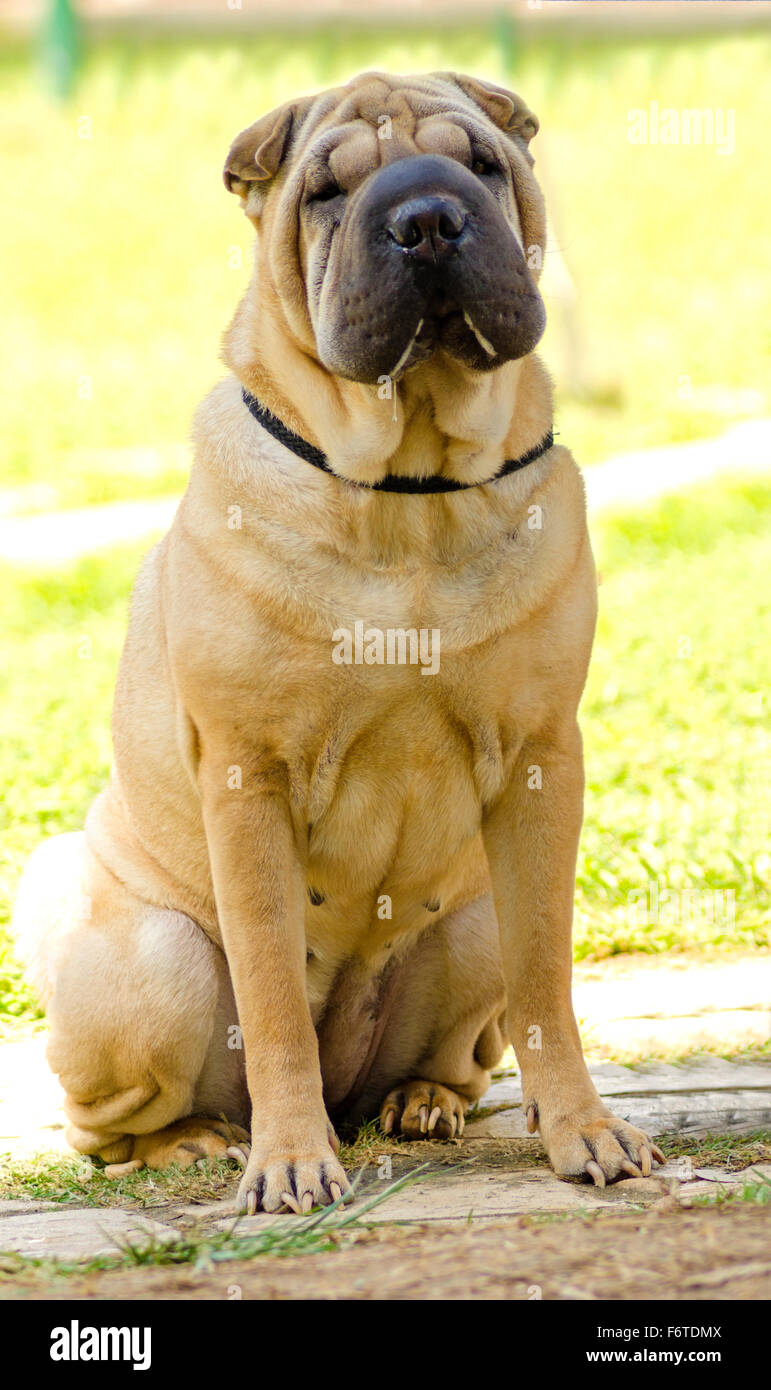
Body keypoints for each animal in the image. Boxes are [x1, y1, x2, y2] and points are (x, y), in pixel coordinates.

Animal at [12, 70, 664, 1212]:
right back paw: (199, 1141)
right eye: (325, 192)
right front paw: (287, 1162)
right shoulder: (250, 776)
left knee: (470, 1036)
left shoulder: (540, 760)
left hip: (471, 921)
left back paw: (421, 1101)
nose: (428, 219)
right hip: (144, 962)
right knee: (105, 1122)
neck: (411, 492)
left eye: (482, 163)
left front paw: (583, 1131)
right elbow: (272, 990)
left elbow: (548, 983)